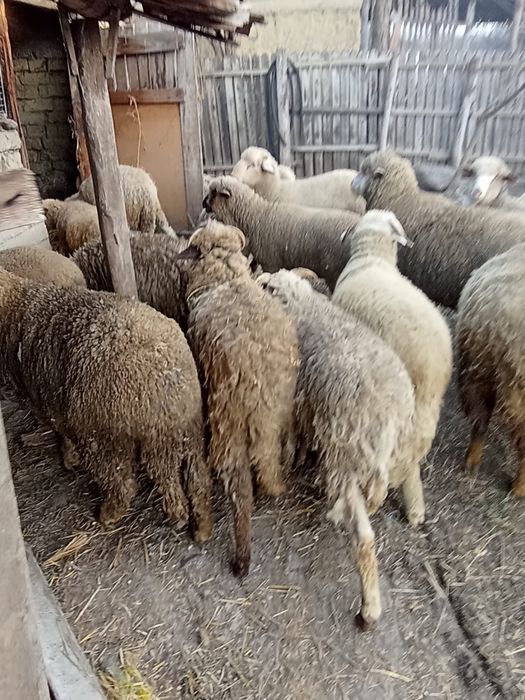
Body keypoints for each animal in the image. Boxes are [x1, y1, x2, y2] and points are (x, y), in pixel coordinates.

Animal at [0, 269, 212, 540]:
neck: (17, 308)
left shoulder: (47, 403)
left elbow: (61, 433)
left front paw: (69, 459)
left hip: (105, 437)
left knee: (126, 484)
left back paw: (111, 514)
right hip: (187, 430)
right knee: (195, 478)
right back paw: (196, 524)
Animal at [179, 220, 299, 577]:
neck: (226, 280)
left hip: (227, 421)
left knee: (240, 489)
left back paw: (241, 558)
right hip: (276, 414)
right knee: (274, 456)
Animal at [259, 269, 415, 630]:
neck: (297, 301)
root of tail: (386, 420)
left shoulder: (296, 398)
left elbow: (294, 437)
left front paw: (293, 458)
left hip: (346, 458)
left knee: (365, 538)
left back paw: (369, 609)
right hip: (382, 459)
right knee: (375, 500)